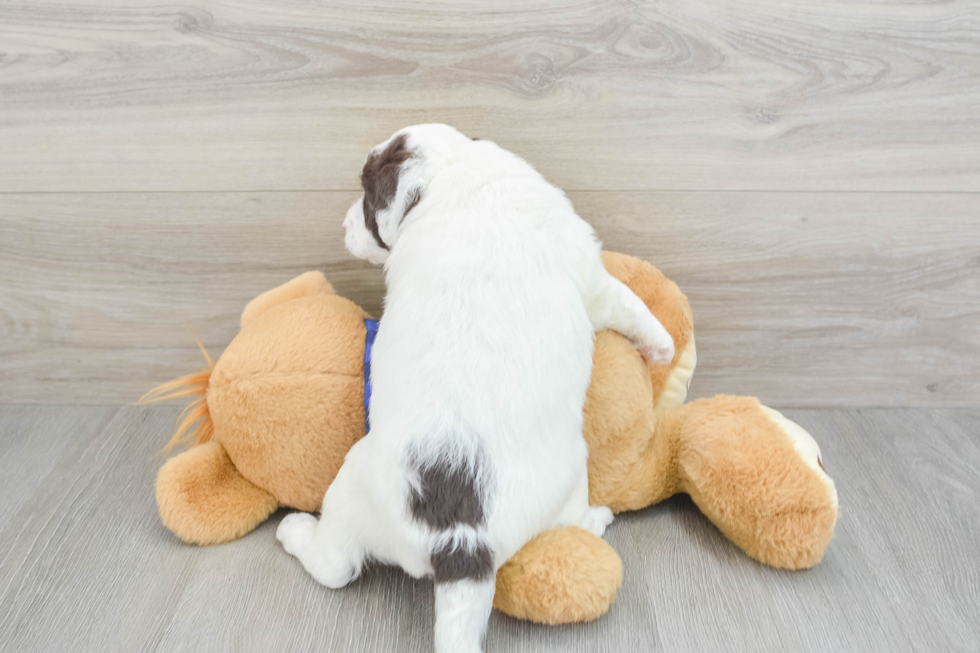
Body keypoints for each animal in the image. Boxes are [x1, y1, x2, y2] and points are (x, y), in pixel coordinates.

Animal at [276, 123, 672, 652]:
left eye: (364, 199)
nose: (343, 227)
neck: (450, 170)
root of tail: (462, 541)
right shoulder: (590, 276)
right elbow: (631, 304)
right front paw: (665, 348)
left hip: (363, 489)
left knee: (336, 566)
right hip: (557, 472)